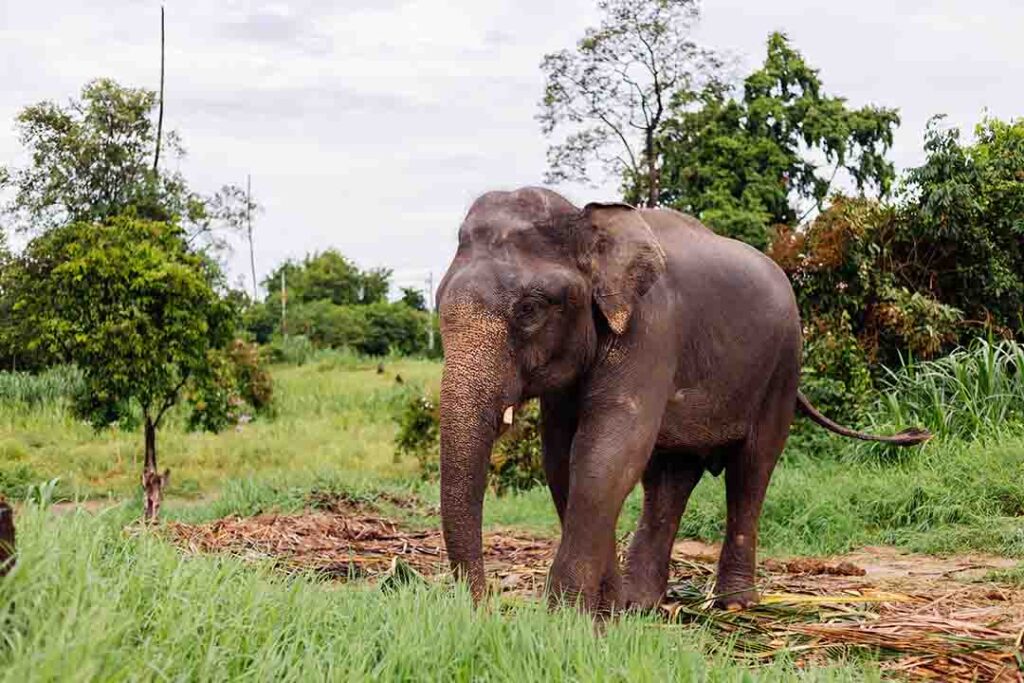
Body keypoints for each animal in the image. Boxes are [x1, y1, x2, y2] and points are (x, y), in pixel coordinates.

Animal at [435, 187, 929, 613]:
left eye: (530, 310)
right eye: (437, 302)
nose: (482, 607)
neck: (588, 220)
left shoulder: (652, 330)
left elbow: (606, 452)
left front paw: (565, 618)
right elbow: (562, 459)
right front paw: (605, 610)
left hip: (783, 368)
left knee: (752, 470)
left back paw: (733, 604)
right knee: (670, 479)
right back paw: (641, 604)